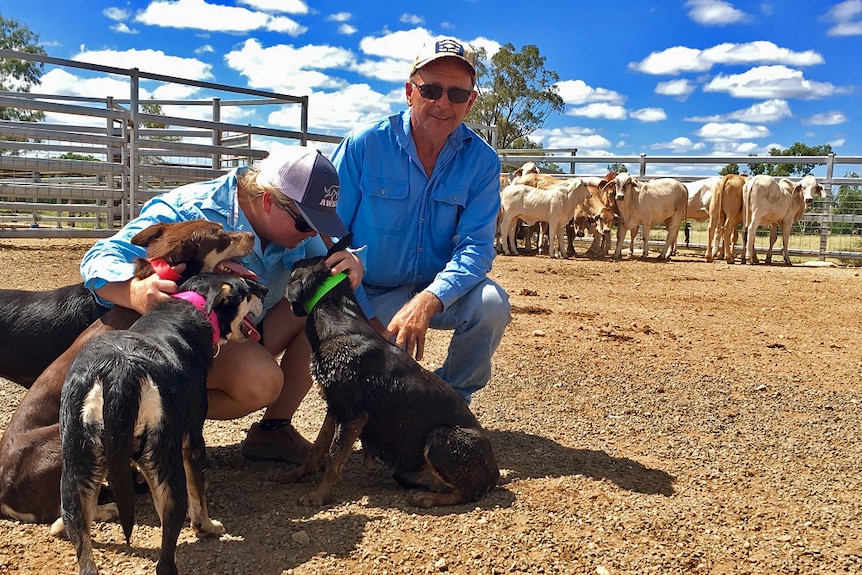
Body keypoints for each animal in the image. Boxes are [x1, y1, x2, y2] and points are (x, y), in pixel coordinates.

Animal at [59, 274, 266, 575]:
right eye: (247, 288)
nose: (265, 288)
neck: (192, 305)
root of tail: (120, 371)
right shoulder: (192, 440)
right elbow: (198, 493)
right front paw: (207, 526)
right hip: (166, 471)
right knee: (166, 559)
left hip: (76, 474)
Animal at [280, 237, 502, 508]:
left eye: (297, 265)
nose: (289, 255)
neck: (338, 323)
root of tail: (495, 474)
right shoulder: (335, 407)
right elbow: (318, 448)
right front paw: (296, 475)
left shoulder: (353, 415)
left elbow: (333, 458)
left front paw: (318, 496)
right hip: (409, 469)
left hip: (441, 439)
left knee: (468, 493)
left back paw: (427, 498)